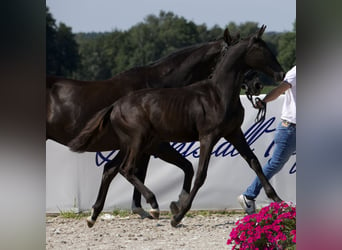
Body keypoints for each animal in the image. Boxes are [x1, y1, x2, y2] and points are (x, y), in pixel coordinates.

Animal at [68, 24, 284, 227]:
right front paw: (178, 215)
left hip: (131, 144)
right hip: (138, 141)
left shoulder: (234, 133)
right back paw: (153, 205)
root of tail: (115, 105)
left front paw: (279, 200)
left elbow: (255, 162)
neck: (218, 95)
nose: (280, 74)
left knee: (111, 169)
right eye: (263, 50)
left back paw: (94, 216)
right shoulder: (208, 136)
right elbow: (200, 175)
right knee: (126, 169)